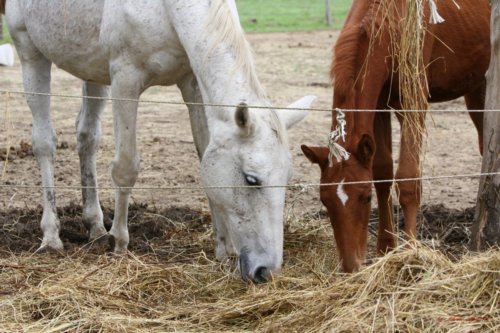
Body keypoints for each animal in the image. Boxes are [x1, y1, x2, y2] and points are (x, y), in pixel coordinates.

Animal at [3, 0, 314, 282]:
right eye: (251, 179)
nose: (266, 271)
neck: (168, 10)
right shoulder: (125, 79)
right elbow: (125, 167)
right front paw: (119, 243)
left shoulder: (192, 84)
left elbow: (204, 157)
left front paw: (223, 248)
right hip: (30, 53)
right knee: (45, 143)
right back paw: (51, 236)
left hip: (92, 71)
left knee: (87, 137)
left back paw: (95, 227)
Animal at [300, 0, 488, 272]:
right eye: (324, 201)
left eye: (365, 198)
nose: (351, 266)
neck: (390, 20)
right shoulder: (379, 105)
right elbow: (382, 172)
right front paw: (386, 248)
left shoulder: (413, 103)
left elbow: (408, 179)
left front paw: (410, 251)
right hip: (477, 88)